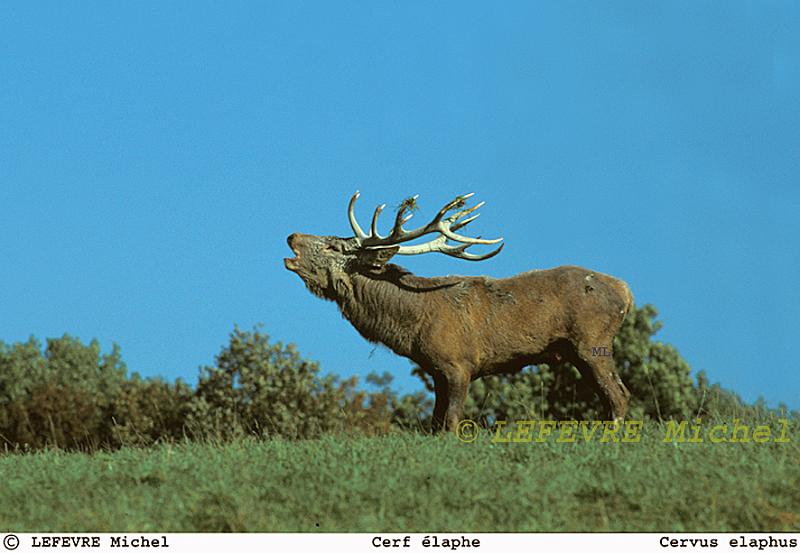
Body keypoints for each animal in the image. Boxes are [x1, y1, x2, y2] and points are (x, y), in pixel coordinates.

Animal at [284, 192, 636, 434]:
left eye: (333, 247)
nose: (292, 235)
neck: (411, 325)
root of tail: (625, 291)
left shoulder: (458, 365)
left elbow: (451, 421)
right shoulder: (436, 371)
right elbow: (435, 423)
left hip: (592, 343)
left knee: (619, 395)